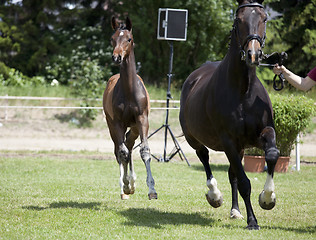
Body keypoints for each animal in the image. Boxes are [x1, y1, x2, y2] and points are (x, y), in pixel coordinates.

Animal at [103, 16, 158, 200]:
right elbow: (122, 152)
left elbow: (144, 151)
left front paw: (152, 190)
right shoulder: (117, 123)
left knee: (129, 143)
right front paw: (125, 185)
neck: (129, 91)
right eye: (112, 38)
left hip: (133, 127)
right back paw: (125, 187)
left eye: (129, 39)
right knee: (120, 149)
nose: (117, 57)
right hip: (111, 125)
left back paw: (132, 182)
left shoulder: (142, 120)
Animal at [180, 0, 278, 229]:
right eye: (238, 19)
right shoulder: (228, 141)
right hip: (194, 138)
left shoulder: (261, 133)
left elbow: (272, 154)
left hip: (240, 147)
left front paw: (267, 198)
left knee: (232, 173)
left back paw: (235, 211)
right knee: (204, 157)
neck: (243, 91)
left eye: (264, 18)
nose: (253, 54)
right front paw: (253, 221)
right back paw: (214, 195)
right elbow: (244, 182)